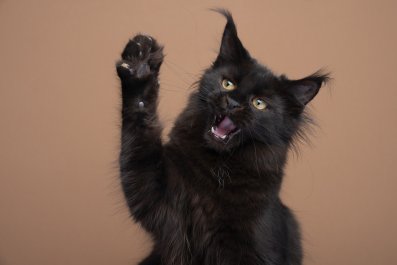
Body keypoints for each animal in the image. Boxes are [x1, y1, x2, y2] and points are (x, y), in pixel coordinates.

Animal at [115, 8, 328, 264]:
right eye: (227, 84)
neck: (216, 172)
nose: (232, 103)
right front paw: (140, 65)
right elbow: (138, 128)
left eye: (259, 103)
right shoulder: (157, 198)